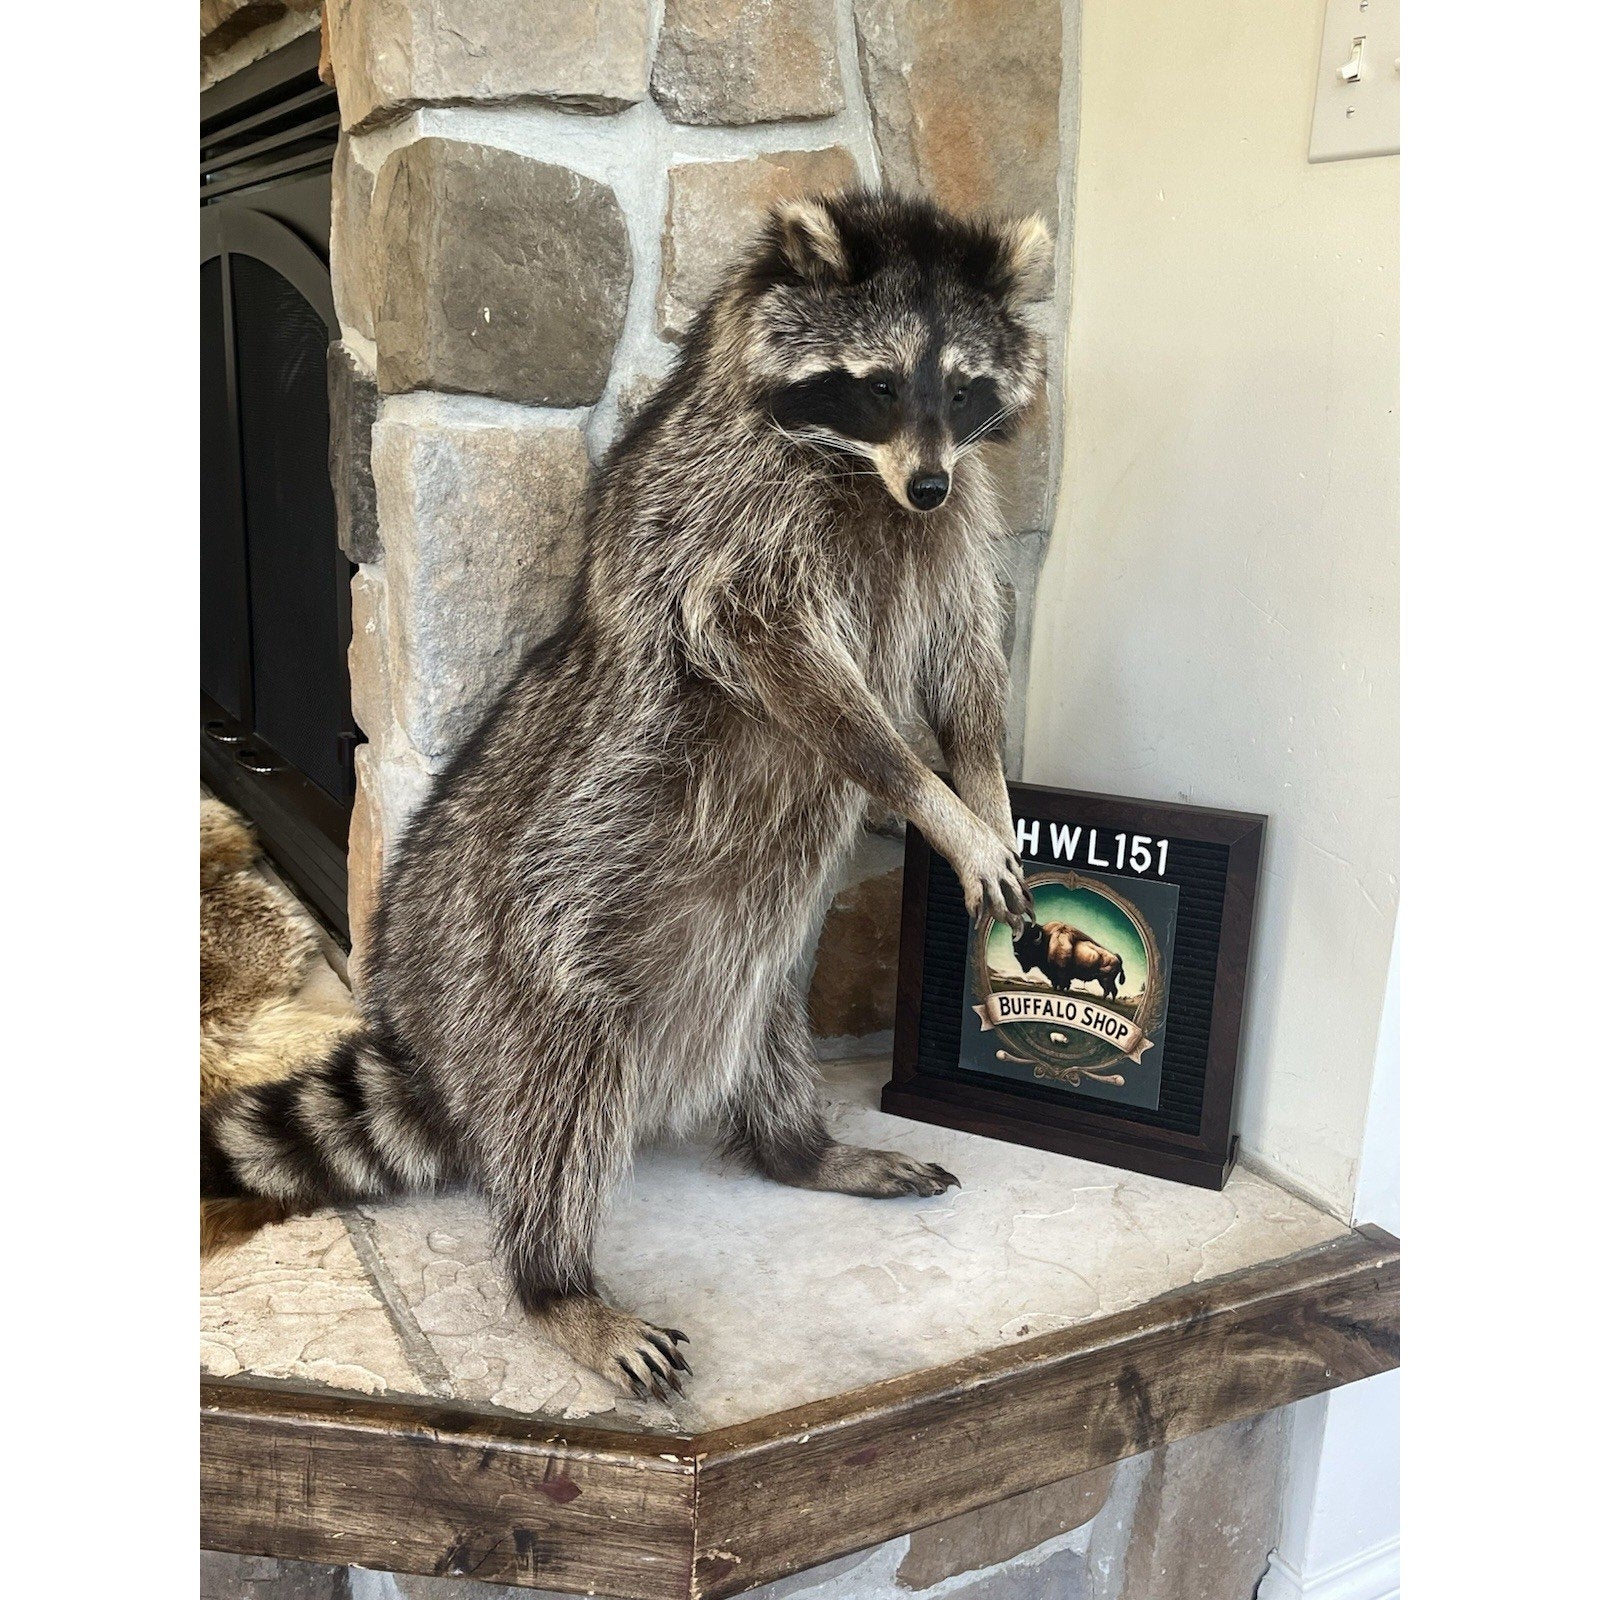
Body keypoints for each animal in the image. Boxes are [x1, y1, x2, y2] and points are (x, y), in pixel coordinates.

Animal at [202, 190, 1050, 1399]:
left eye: (965, 387)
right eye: (883, 383)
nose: (925, 481)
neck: (860, 471)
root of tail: (439, 1049)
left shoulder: (951, 533)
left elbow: (964, 665)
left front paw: (980, 791)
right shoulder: (729, 522)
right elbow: (777, 659)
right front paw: (926, 792)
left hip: (752, 967)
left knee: (767, 1036)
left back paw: (800, 1147)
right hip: (531, 951)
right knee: (560, 1100)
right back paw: (556, 1283)